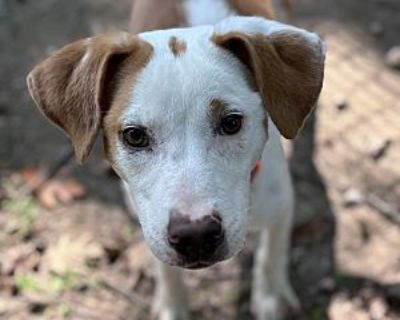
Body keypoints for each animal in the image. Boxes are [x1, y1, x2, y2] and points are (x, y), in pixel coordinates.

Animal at [26, 1, 324, 318]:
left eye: (231, 122)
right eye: (134, 136)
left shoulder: (280, 203)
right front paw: (172, 304)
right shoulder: (148, 220)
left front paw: (270, 297)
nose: (196, 235)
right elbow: (166, 270)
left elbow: (272, 253)